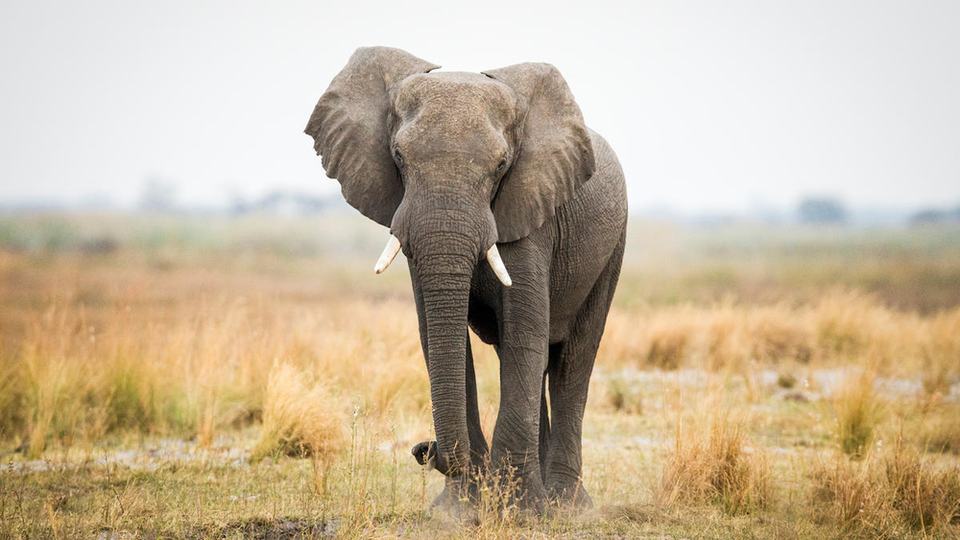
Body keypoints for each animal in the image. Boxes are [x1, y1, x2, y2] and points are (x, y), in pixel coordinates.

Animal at [305, 47, 627, 513]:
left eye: (502, 165)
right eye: (398, 157)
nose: (425, 449)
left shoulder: (530, 210)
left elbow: (525, 333)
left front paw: (518, 512)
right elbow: (441, 336)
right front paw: (460, 511)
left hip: (613, 246)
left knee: (571, 361)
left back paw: (566, 506)